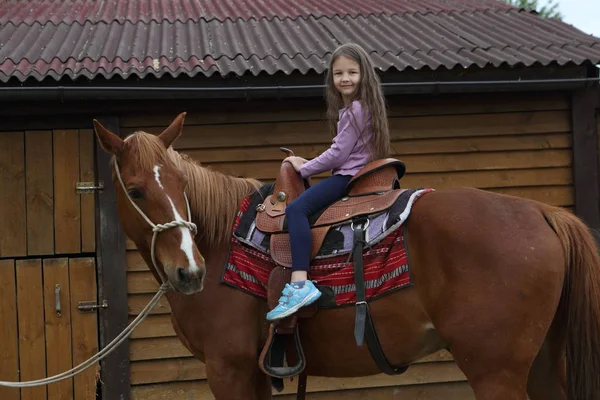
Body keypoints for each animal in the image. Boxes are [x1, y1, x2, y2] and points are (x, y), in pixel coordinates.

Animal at [92, 113, 600, 400]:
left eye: (181, 184)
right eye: (136, 190)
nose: (189, 271)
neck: (222, 247)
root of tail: (545, 212)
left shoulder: (228, 369)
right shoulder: (252, 373)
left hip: (497, 372)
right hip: (540, 365)